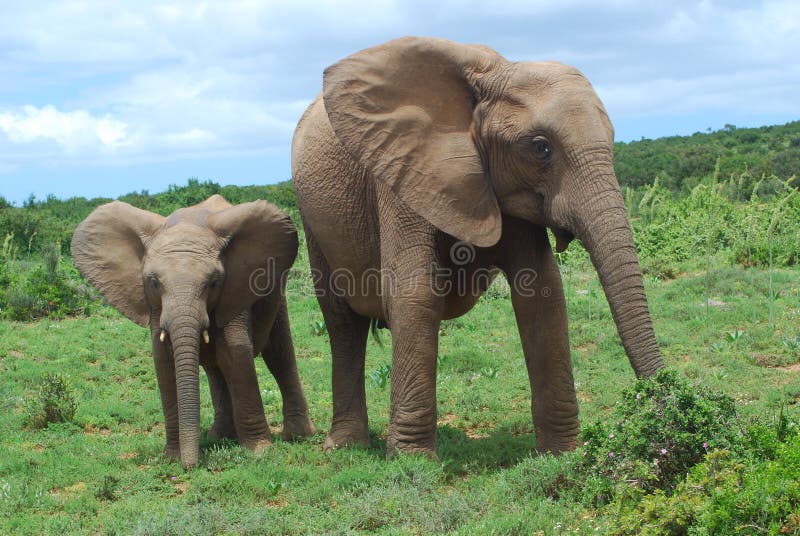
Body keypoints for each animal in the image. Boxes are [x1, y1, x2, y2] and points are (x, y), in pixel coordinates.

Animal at [72, 195, 314, 466]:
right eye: (153, 283)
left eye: (213, 283)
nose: (190, 466)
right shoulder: (154, 306)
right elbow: (164, 360)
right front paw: (171, 457)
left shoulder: (236, 288)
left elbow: (236, 351)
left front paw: (260, 452)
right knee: (215, 368)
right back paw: (220, 436)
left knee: (278, 354)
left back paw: (296, 437)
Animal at [292, 37, 664, 456]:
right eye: (541, 148)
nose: (670, 400)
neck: (497, 71)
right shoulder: (402, 169)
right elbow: (415, 294)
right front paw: (413, 460)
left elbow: (543, 291)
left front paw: (563, 453)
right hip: (313, 218)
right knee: (342, 325)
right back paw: (345, 447)